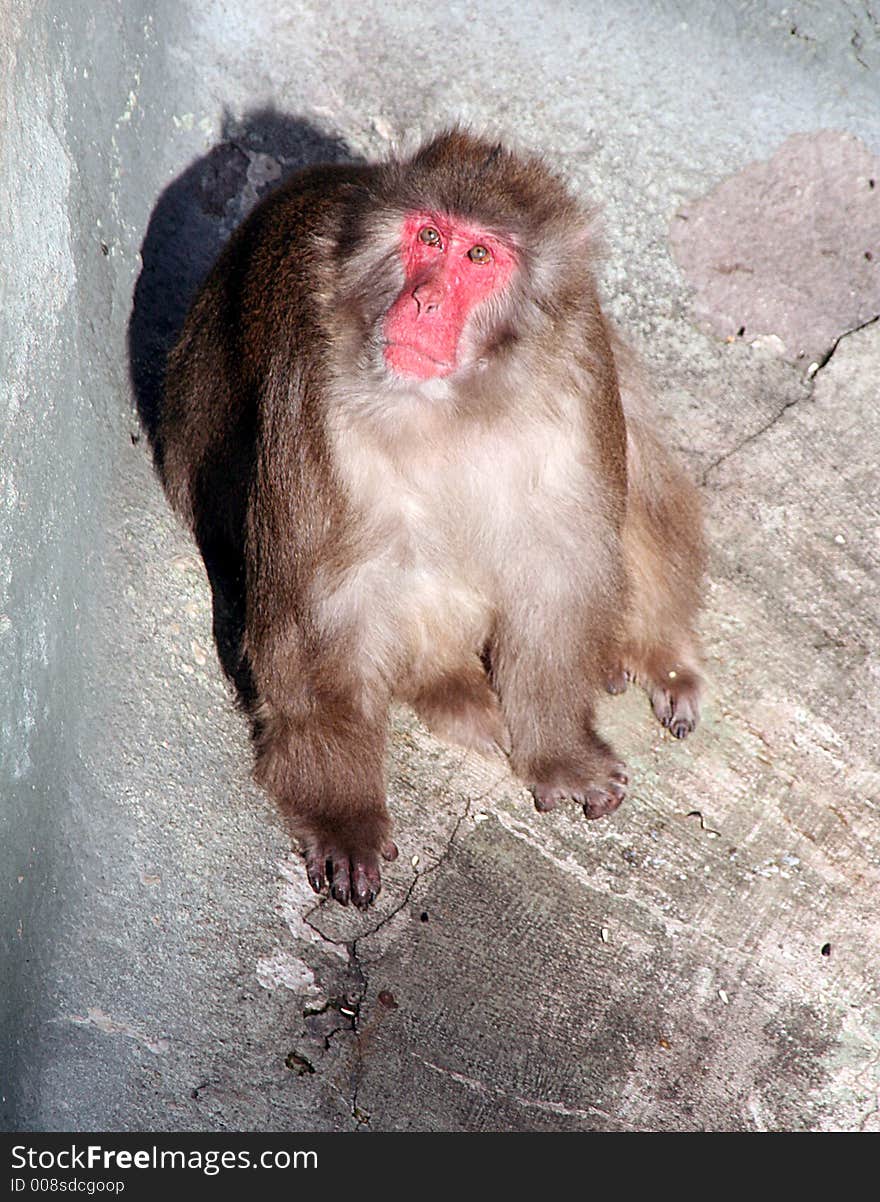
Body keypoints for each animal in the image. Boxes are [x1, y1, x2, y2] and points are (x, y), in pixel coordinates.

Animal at [156, 126, 706, 903]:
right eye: (429, 238)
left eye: (478, 257)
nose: (421, 303)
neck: (461, 402)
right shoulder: (316, 396)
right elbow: (327, 610)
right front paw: (344, 811)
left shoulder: (578, 366)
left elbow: (558, 570)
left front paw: (559, 749)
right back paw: (453, 688)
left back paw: (652, 652)